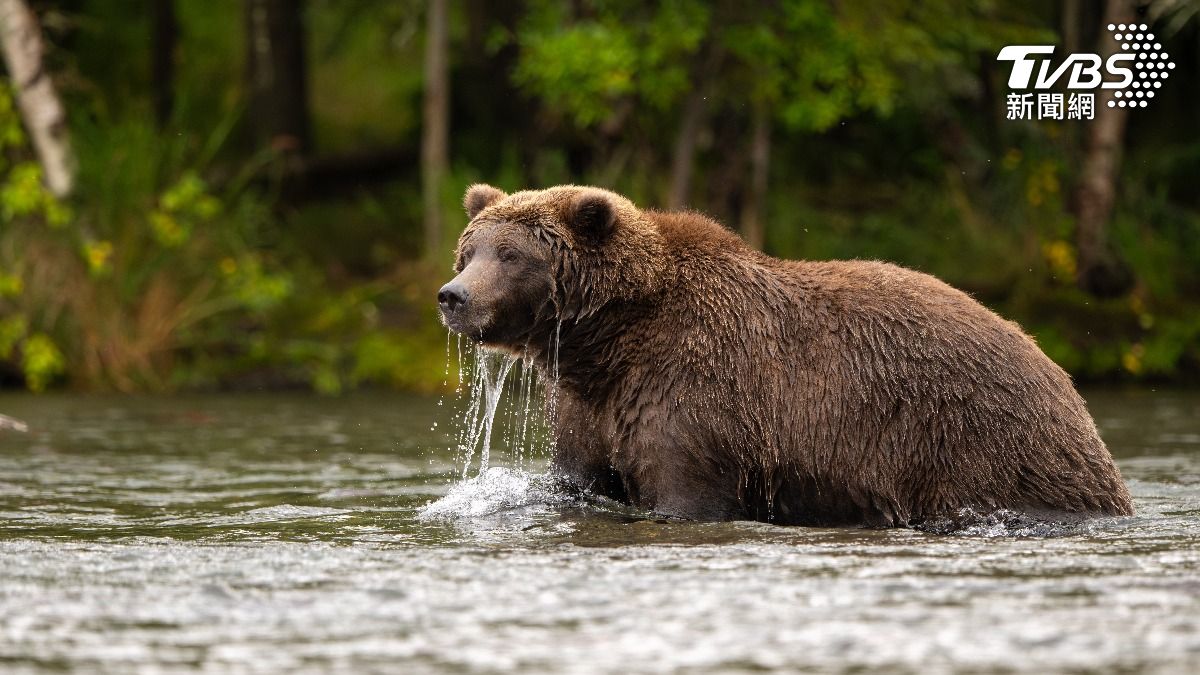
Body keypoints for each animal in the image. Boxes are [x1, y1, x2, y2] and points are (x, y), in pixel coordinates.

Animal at [437, 183, 1134, 527]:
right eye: (470, 249)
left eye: (511, 255)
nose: (452, 297)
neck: (609, 339)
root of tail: (1063, 379)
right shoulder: (593, 404)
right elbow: (578, 478)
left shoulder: (695, 389)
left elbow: (685, 487)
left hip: (977, 441)